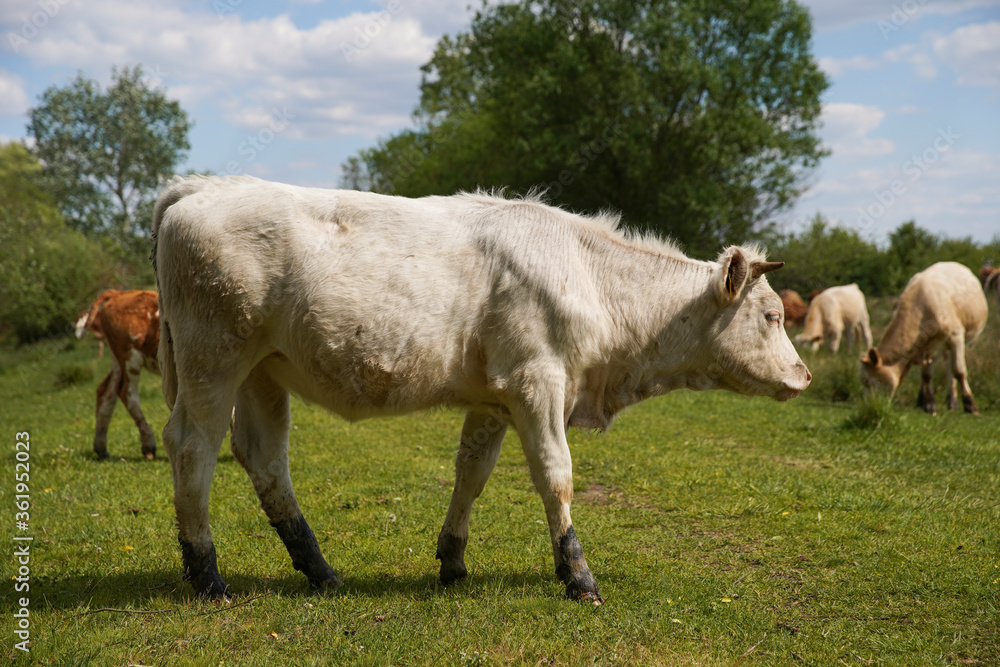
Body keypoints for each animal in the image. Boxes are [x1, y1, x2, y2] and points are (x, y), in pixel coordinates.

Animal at [77, 290, 161, 462]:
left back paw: (101, 448)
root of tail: (119, 292)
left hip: (117, 360)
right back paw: (148, 445)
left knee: (106, 392)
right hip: (129, 355)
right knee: (126, 393)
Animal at [150, 175, 812, 604]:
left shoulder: (495, 398)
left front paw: (453, 560)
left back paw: (320, 572)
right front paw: (578, 577)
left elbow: (472, 473)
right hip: (214, 361)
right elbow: (555, 475)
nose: (804, 376)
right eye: (774, 316)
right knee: (192, 450)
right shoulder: (537, 381)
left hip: (263, 372)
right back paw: (208, 578)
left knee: (265, 460)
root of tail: (201, 187)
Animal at [856, 264, 988, 414]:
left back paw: (953, 402)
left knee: (951, 369)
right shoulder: (925, 346)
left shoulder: (956, 336)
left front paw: (970, 405)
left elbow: (959, 371)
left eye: (866, 380)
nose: (869, 406)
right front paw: (928, 403)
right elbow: (926, 375)